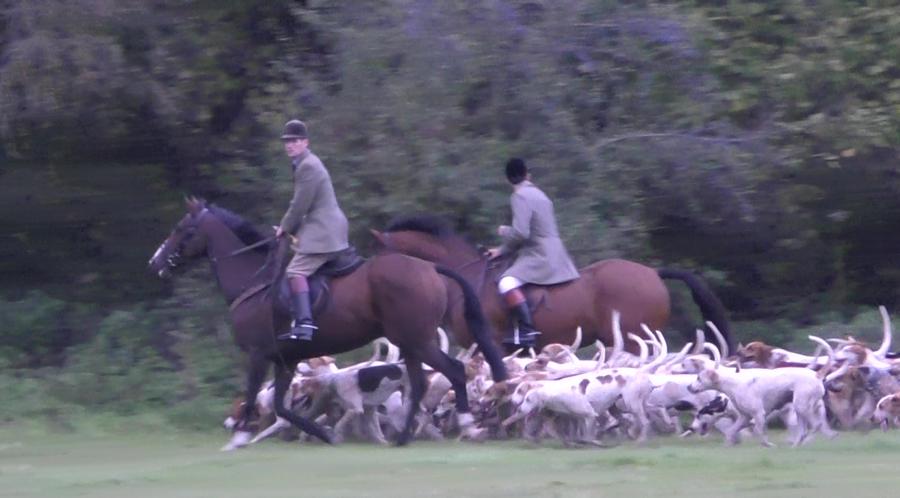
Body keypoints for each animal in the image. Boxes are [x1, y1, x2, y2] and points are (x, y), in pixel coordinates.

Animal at [151, 200, 510, 450]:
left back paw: (466, 423)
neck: (255, 281)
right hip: (411, 343)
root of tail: (430, 267)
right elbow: (281, 407)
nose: (155, 263)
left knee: (453, 372)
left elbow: (253, 394)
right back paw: (404, 437)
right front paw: (324, 433)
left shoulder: (257, 354)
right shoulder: (285, 360)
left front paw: (238, 439)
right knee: (420, 384)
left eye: (181, 229)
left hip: (418, 341)